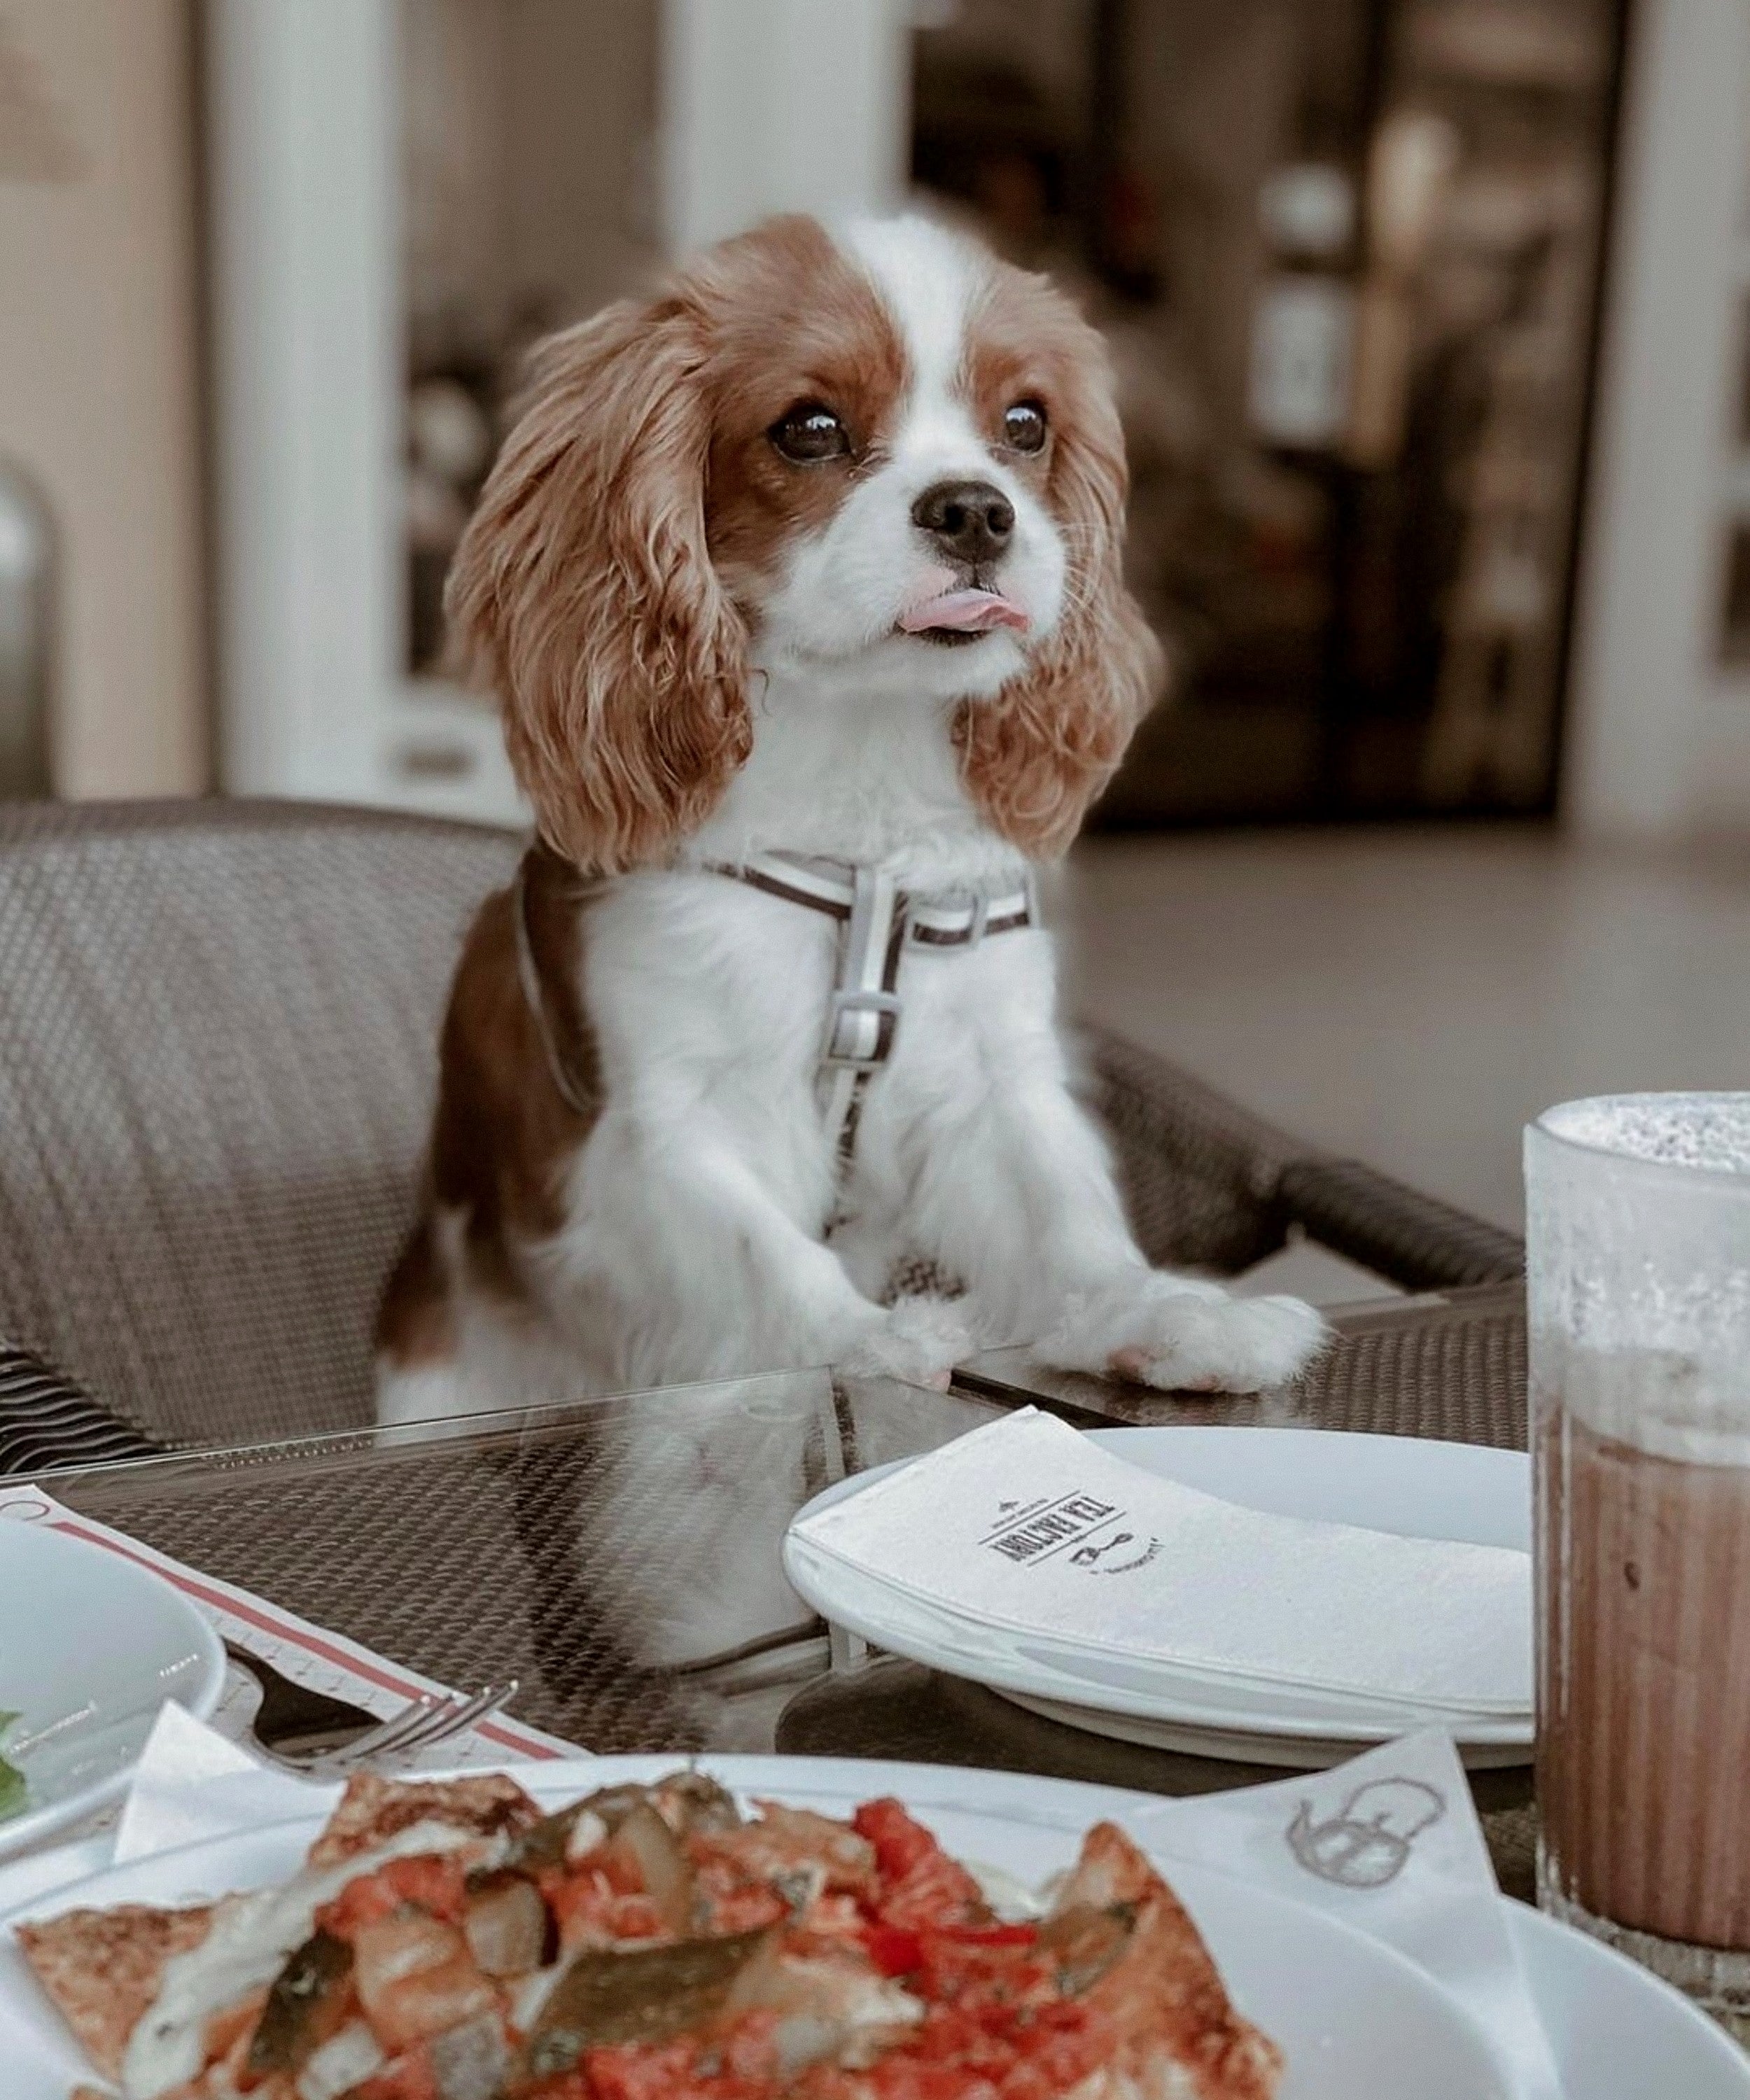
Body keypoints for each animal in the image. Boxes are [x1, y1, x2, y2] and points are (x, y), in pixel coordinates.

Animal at [376, 213, 1319, 1428]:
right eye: (811, 429)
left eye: (1026, 425)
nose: (975, 508)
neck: (862, 797)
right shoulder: (657, 1126)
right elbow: (762, 1254)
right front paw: (870, 1340)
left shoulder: (988, 1075)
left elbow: (1067, 1218)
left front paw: (1160, 1313)